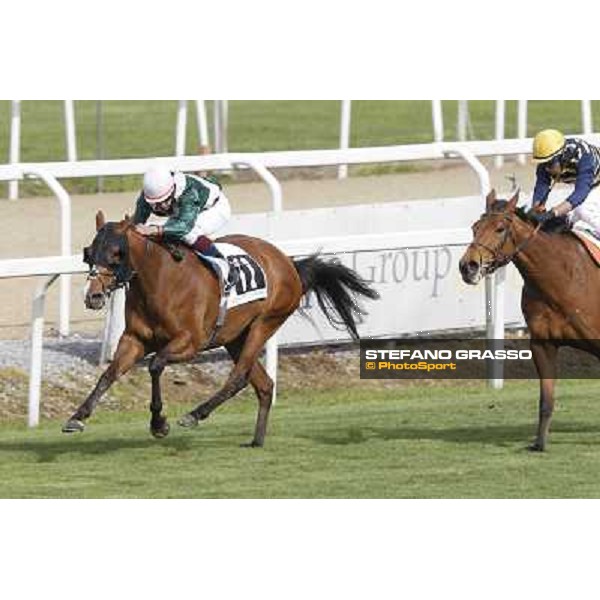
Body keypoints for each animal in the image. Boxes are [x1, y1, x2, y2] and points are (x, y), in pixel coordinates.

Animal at [63, 213, 378, 448]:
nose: (93, 296)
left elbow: (155, 365)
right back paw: (256, 440)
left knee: (238, 378)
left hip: (265, 323)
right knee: (264, 385)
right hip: (235, 337)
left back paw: (195, 414)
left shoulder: (190, 343)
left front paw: (159, 423)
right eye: (88, 253)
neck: (160, 280)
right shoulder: (135, 339)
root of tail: (288, 263)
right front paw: (78, 416)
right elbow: (109, 373)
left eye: (117, 253)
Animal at [462, 191, 600, 450]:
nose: (468, 266)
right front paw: (539, 444)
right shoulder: (542, 344)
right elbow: (546, 399)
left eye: (500, 228)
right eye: (475, 227)